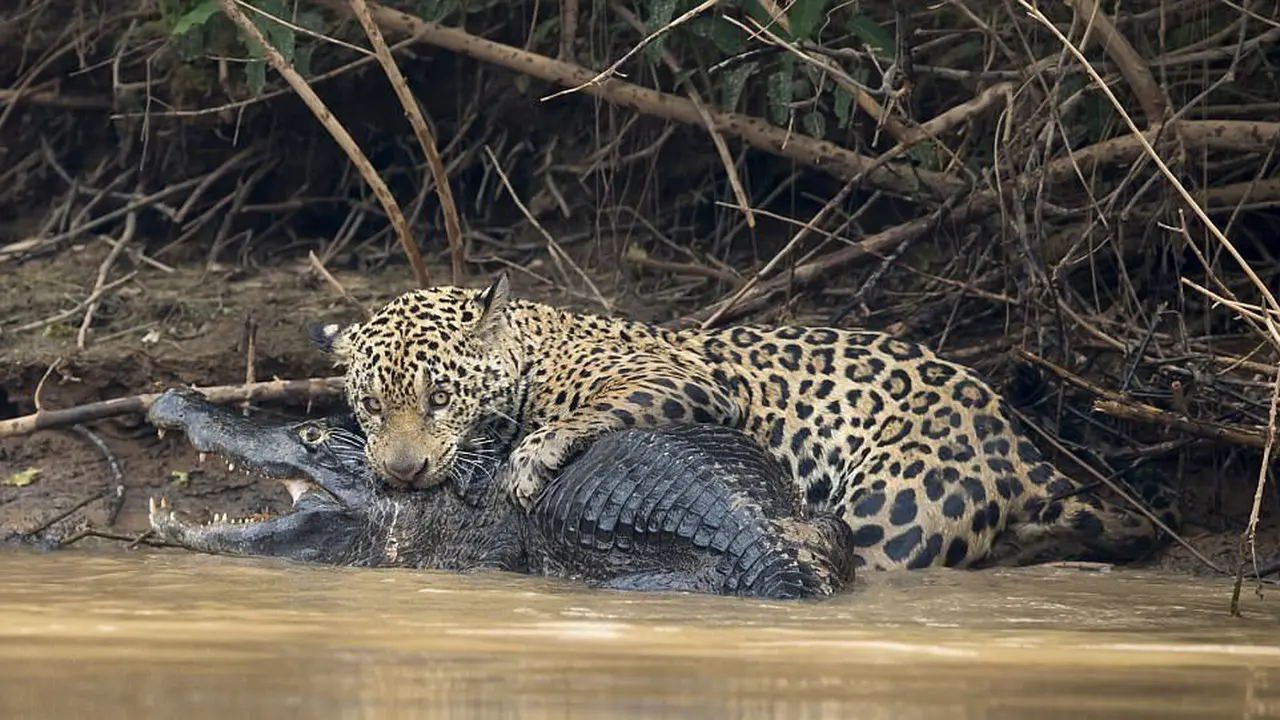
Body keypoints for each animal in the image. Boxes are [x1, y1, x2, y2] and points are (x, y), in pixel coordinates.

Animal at [309, 272, 1179, 572]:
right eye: (371, 405)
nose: (402, 472)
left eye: (439, 397)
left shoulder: (684, 378)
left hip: (891, 513)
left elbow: (592, 411)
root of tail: (1011, 436)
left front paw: (532, 456)